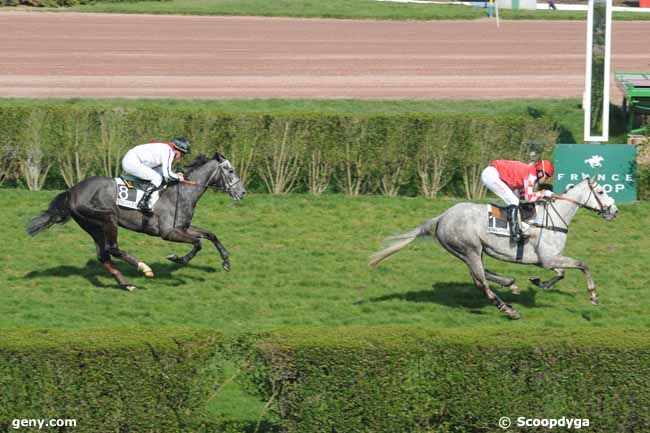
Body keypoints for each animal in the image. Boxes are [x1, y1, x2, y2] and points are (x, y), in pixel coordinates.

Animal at [26, 152, 246, 290]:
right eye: (231, 170)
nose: (242, 192)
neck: (183, 192)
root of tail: (72, 190)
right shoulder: (169, 233)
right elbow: (198, 242)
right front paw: (178, 259)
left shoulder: (183, 227)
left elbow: (210, 235)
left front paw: (226, 262)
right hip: (108, 218)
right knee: (113, 248)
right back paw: (143, 268)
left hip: (92, 226)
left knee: (103, 255)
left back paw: (126, 284)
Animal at [370, 177, 616, 318]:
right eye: (601, 192)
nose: (614, 211)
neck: (554, 218)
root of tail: (442, 217)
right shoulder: (548, 258)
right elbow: (583, 265)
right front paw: (593, 296)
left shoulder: (547, 259)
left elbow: (562, 273)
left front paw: (539, 282)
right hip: (469, 249)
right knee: (481, 283)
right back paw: (509, 309)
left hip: (473, 251)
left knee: (480, 274)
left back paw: (509, 283)